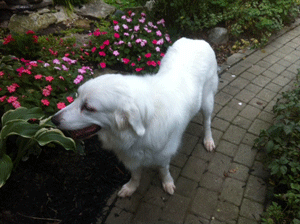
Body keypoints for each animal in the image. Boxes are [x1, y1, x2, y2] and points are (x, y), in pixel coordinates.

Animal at [52, 37, 218, 197]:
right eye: (77, 96)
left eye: (88, 108)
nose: (54, 120)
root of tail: (197, 40)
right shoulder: (131, 156)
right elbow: (135, 174)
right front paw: (131, 187)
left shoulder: (164, 154)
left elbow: (163, 170)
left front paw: (167, 182)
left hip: (207, 102)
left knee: (207, 122)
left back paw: (208, 140)